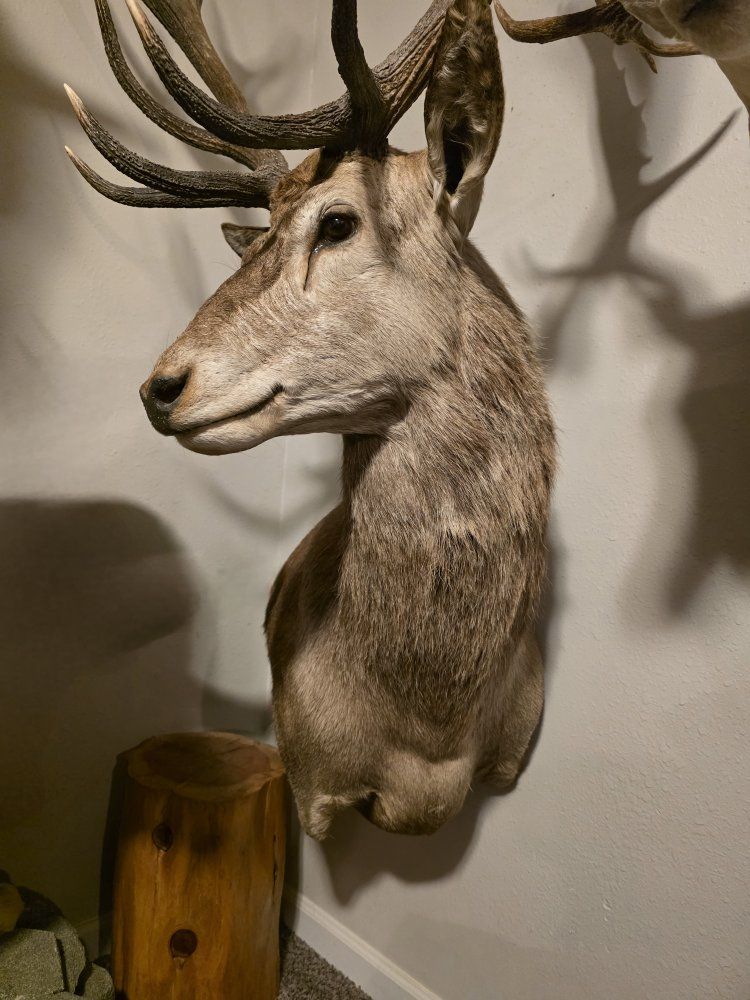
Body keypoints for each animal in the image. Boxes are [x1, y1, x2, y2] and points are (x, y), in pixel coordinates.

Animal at [64, 0, 558, 839]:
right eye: (254, 238)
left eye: (337, 223)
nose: (161, 387)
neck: (434, 733)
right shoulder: (311, 778)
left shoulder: (512, 756)